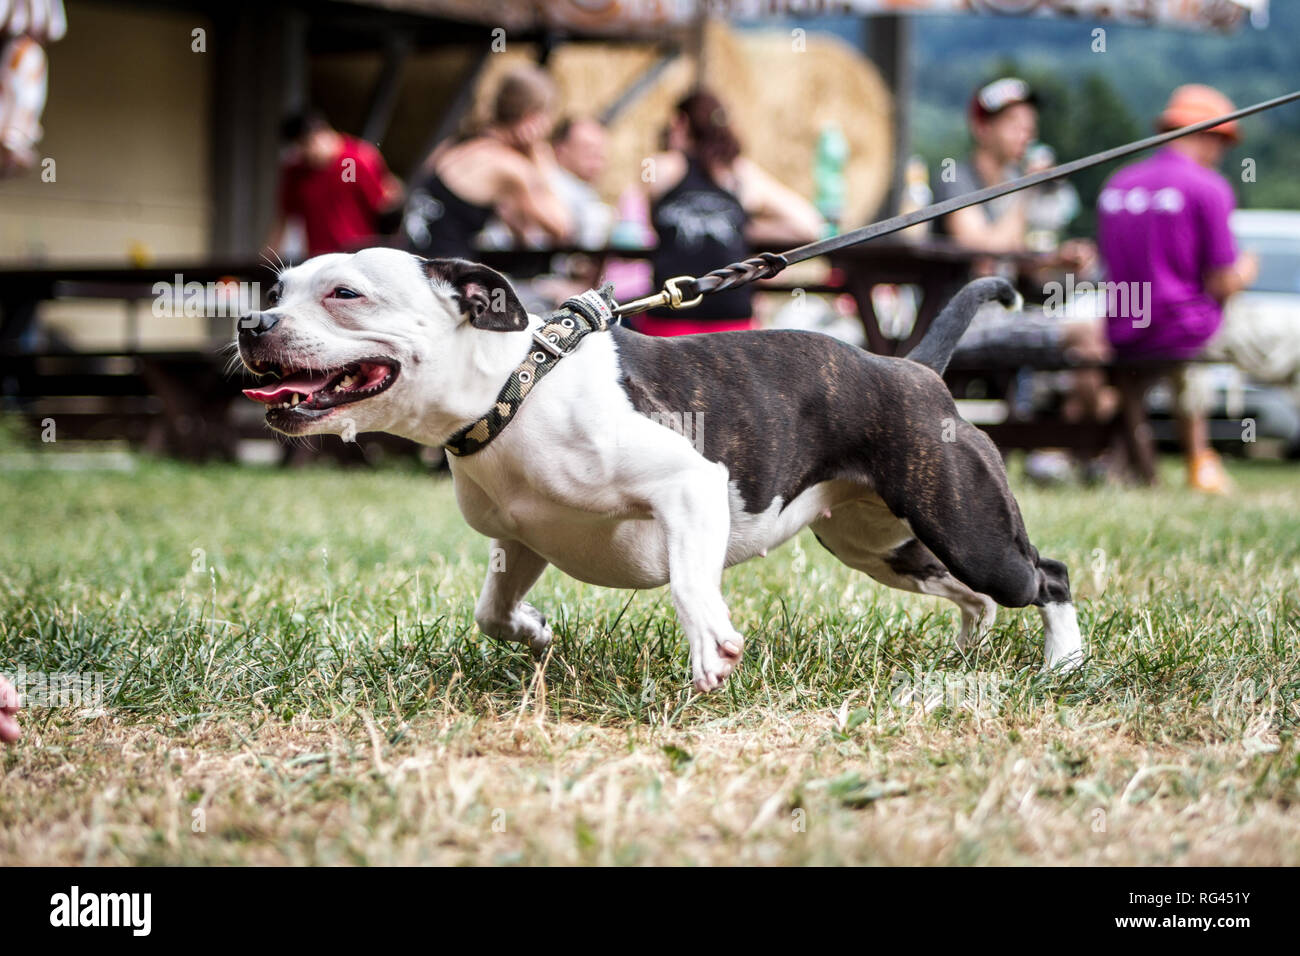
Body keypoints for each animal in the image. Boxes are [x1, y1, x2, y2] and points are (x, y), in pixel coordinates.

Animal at [239, 251, 1081, 691]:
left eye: (346, 294)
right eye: (277, 289)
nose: (252, 321)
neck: (515, 388)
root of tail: (916, 371)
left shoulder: (689, 486)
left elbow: (687, 582)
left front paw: (712, 646)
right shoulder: (521, 540)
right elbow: (492, 610)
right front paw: (535, 631)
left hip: (968, 527)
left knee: (1047, 575)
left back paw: (1065, 661)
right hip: (880, 544)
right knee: (971, 592)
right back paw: (969, 646)